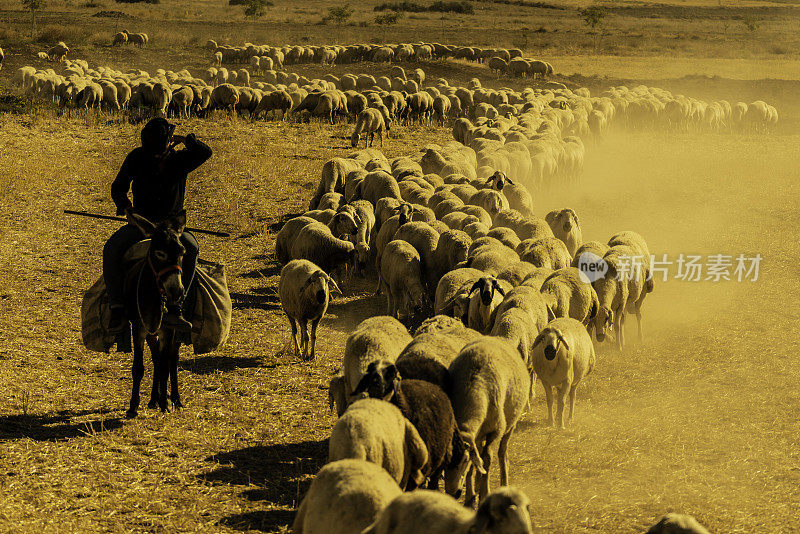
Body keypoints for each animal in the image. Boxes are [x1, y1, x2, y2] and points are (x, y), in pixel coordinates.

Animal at [450, 340, 532, 506]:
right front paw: (470, 496)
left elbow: (487, 458)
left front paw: (484, 494)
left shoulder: (494, 431)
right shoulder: (475, 436)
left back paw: (503, 482)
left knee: (502, 452)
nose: (453, 493)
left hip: (510, 425)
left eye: (464, 460)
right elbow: (476, 461)